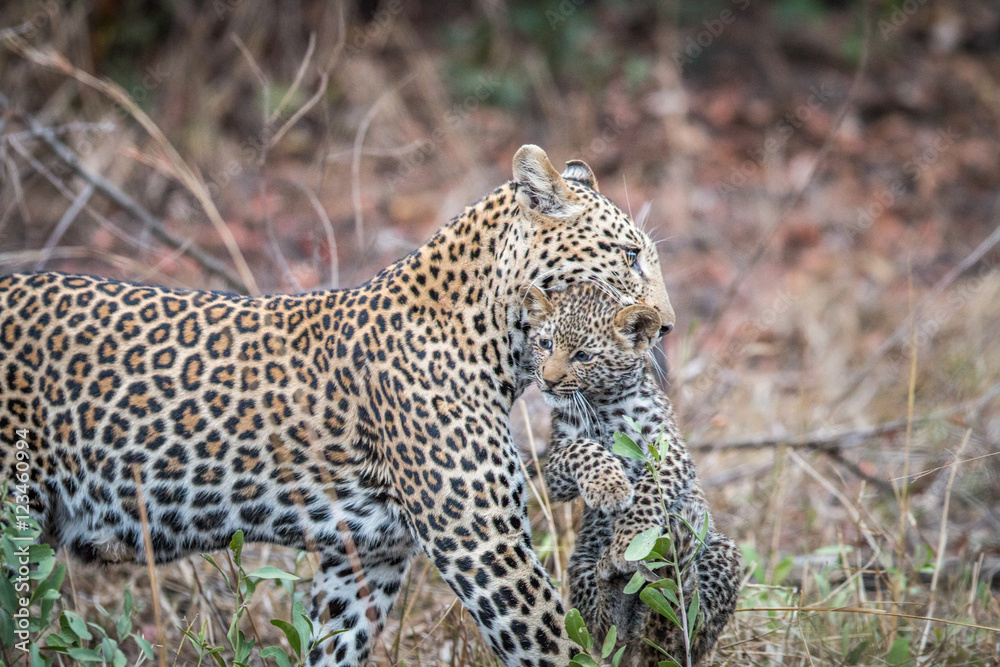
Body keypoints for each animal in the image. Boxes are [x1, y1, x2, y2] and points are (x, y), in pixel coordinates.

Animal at [0, 145, 676, 667]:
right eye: (628, 255)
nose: (666, 326)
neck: (496, 339)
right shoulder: (482, 542)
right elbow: (554, 643)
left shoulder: (366, 559)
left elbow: (333, 644)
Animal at [522, 282, 742, 666]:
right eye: (545, 343)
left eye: (583, 356)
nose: (547, 381)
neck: (602, 401)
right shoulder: (556, 469)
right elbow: (584, 448)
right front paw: (609, 486)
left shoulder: (670, 453)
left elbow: (650, 491)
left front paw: (628, 539)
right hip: (580, 566)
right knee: (605, 631)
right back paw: (614, 582)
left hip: (721, 554)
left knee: (688, 631)